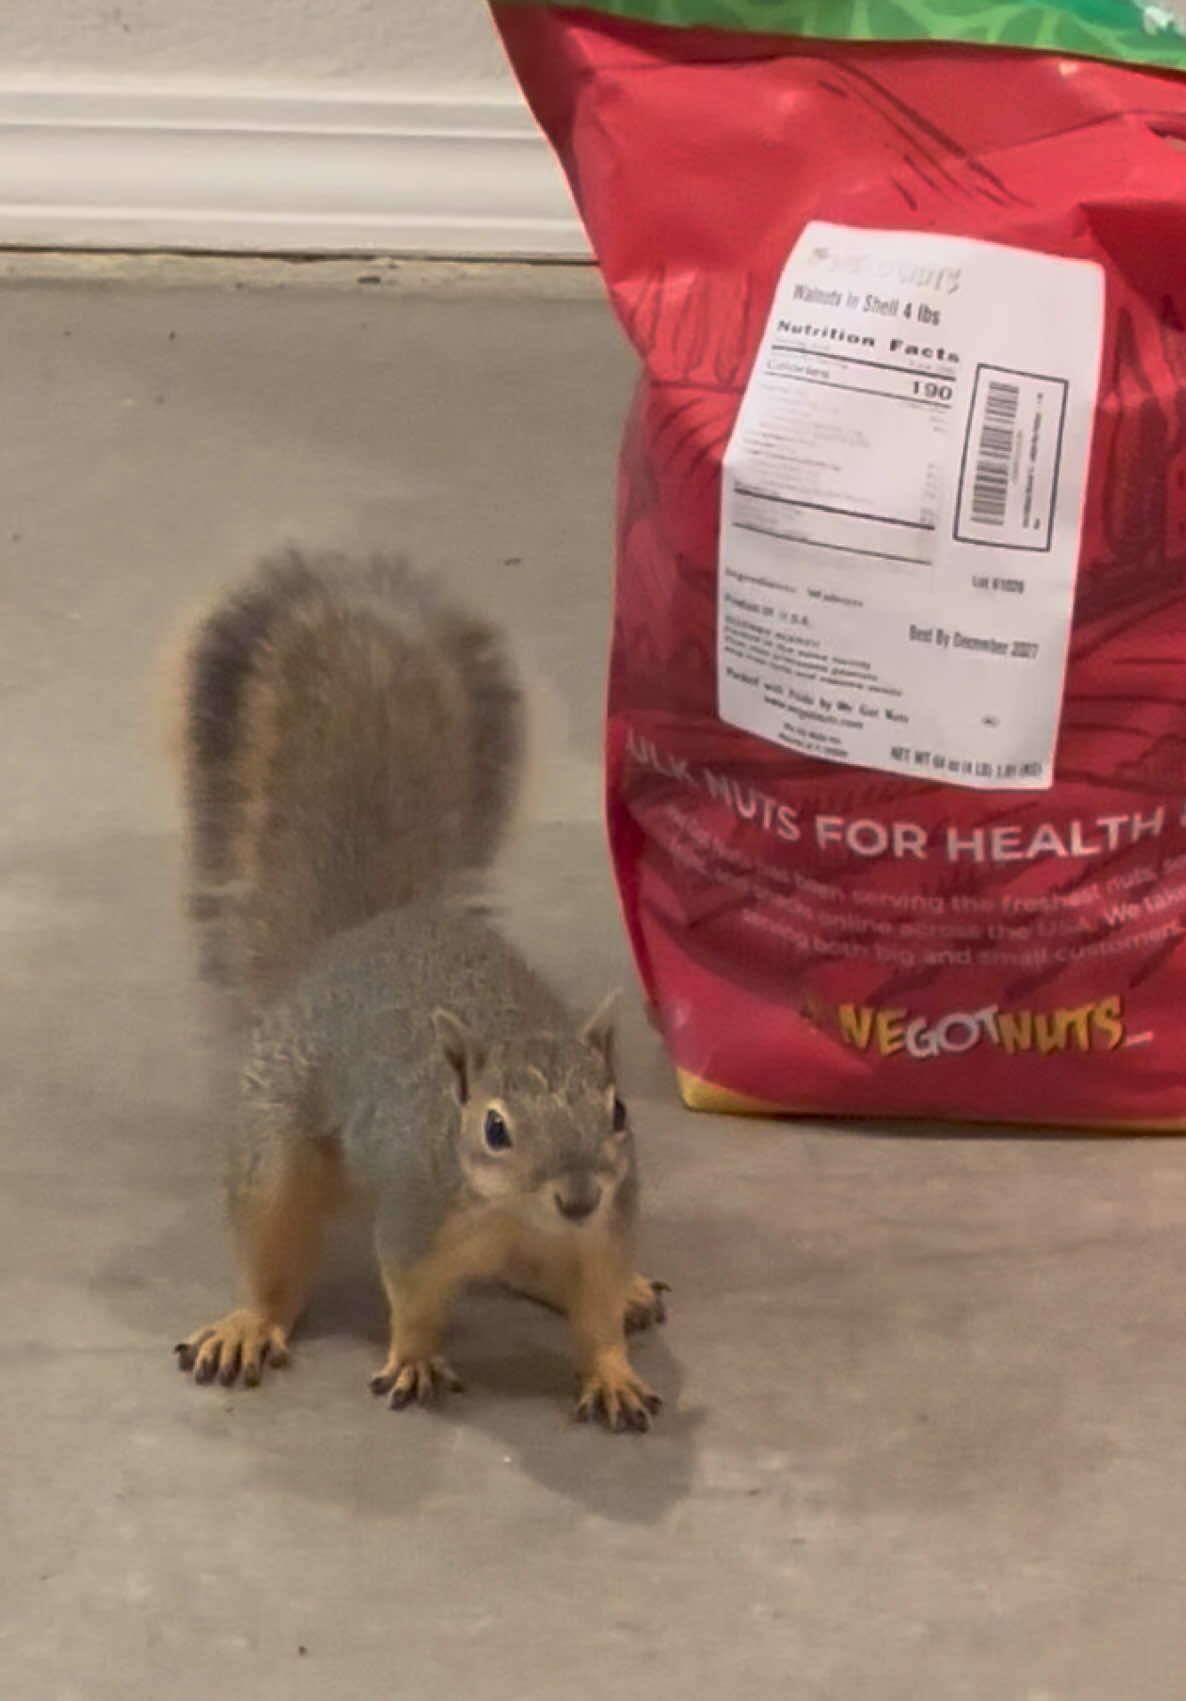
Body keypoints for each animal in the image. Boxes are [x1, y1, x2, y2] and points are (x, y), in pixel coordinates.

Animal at [170, 550, 666, 1432]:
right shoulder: (412, 1219)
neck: (513, 1211)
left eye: (617, 1111)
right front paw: (414, 1360)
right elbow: (413, 1300)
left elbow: (598, 1309)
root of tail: (359, 934)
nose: (578, 1195)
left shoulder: (605, 1231)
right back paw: (247, 1325)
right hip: (274, 1146)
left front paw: (612, 1372)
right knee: (271, 1255)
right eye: (495, 1128)